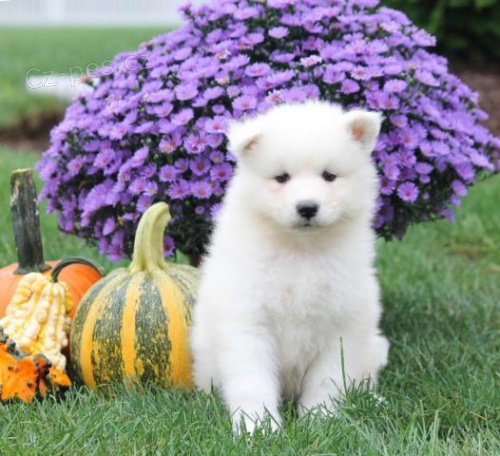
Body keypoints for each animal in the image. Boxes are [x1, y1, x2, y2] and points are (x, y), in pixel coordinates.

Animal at [189, 100, 388, 434]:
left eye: (329, 176)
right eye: (281, 178)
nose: (307, 207)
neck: (300, 250)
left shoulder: (342, 324)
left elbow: (328, 380)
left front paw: (320, 420)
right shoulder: (248, 321)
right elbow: (252, 381)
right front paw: (257, 427)